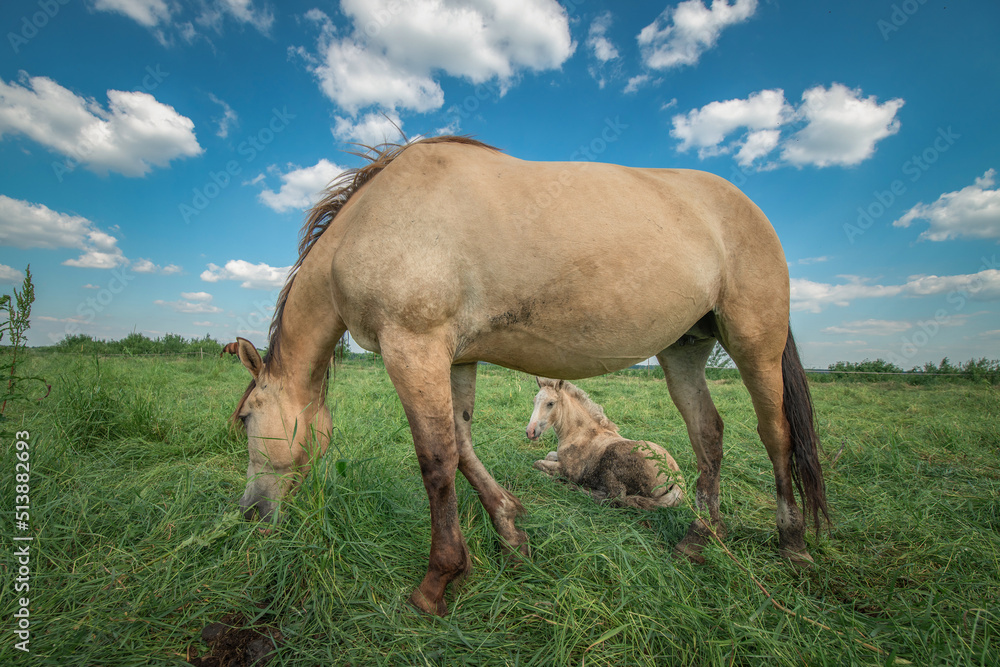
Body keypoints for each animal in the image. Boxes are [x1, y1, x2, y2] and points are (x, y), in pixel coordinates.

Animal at [527, 377, 685, 510]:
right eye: (534, 401)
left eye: (550, 403)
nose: (530, 431)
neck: (580, 433)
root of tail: (677, 475)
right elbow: (548, 455)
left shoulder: (569, 471)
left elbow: (537, 463)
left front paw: (547, 475)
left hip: (613, 462)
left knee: (615, 499)